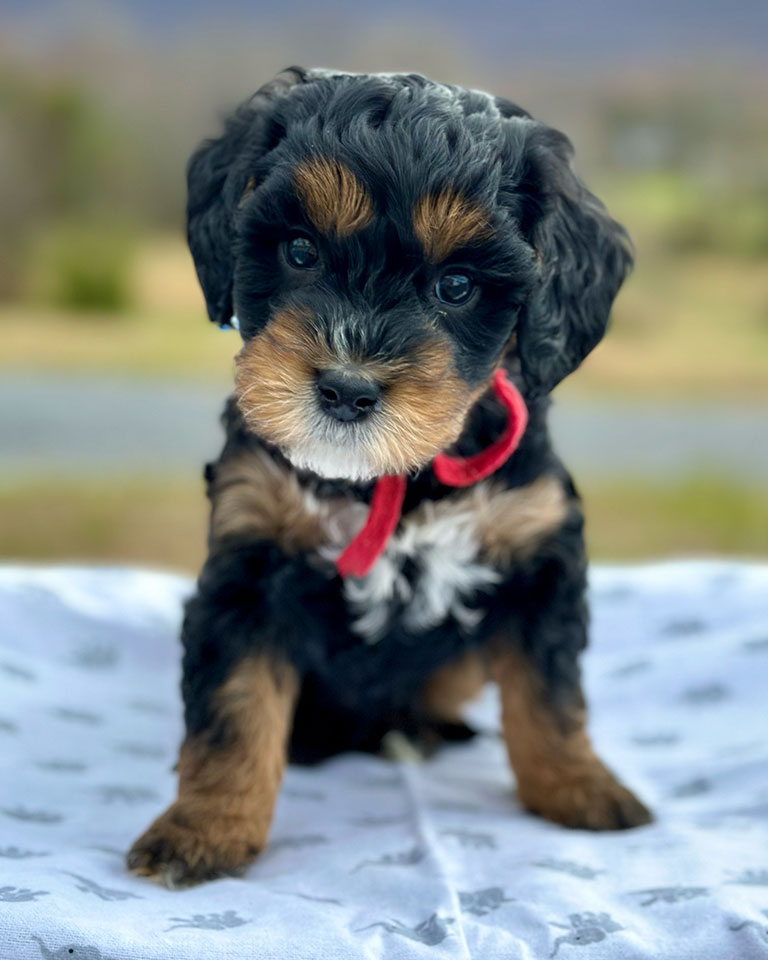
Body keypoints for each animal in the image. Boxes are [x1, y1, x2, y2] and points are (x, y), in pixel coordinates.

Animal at [129, 69, 652, 892]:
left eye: (458, 286)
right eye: (301, 251)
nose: (346, 389)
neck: (391, 479)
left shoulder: (537, 550)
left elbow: (551, 693)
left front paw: (580, 788)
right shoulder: (249, 563)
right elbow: (233, 709)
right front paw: (203, 830)